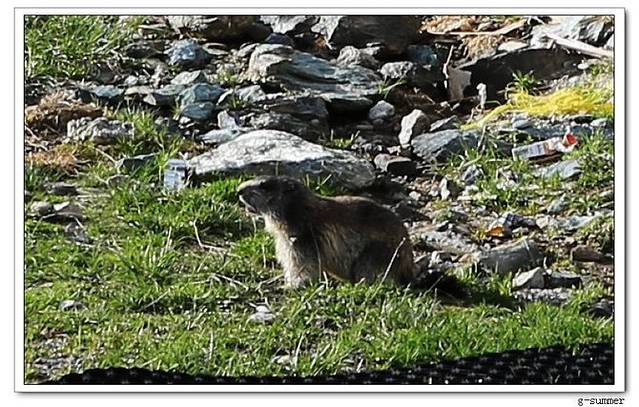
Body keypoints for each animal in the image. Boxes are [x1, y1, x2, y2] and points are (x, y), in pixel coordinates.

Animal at [237, 176, 416, 288]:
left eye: (265, 185)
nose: (238, 190)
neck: (299, 210)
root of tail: (409, 268)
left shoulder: (302, 238)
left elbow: (302, 264)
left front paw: (290, 286)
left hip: (377, 254)